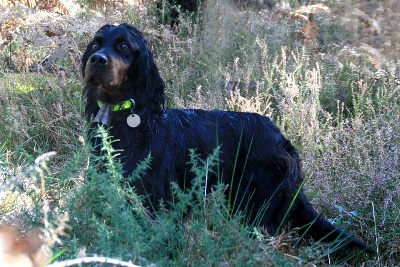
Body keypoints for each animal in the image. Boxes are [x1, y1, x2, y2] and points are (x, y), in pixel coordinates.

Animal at [81, 24, 372, 254]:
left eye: (124, 46)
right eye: (96, 43)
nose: (96, 60)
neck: (124, 118)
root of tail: (285, 142)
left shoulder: (158, 203)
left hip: (256, 209)